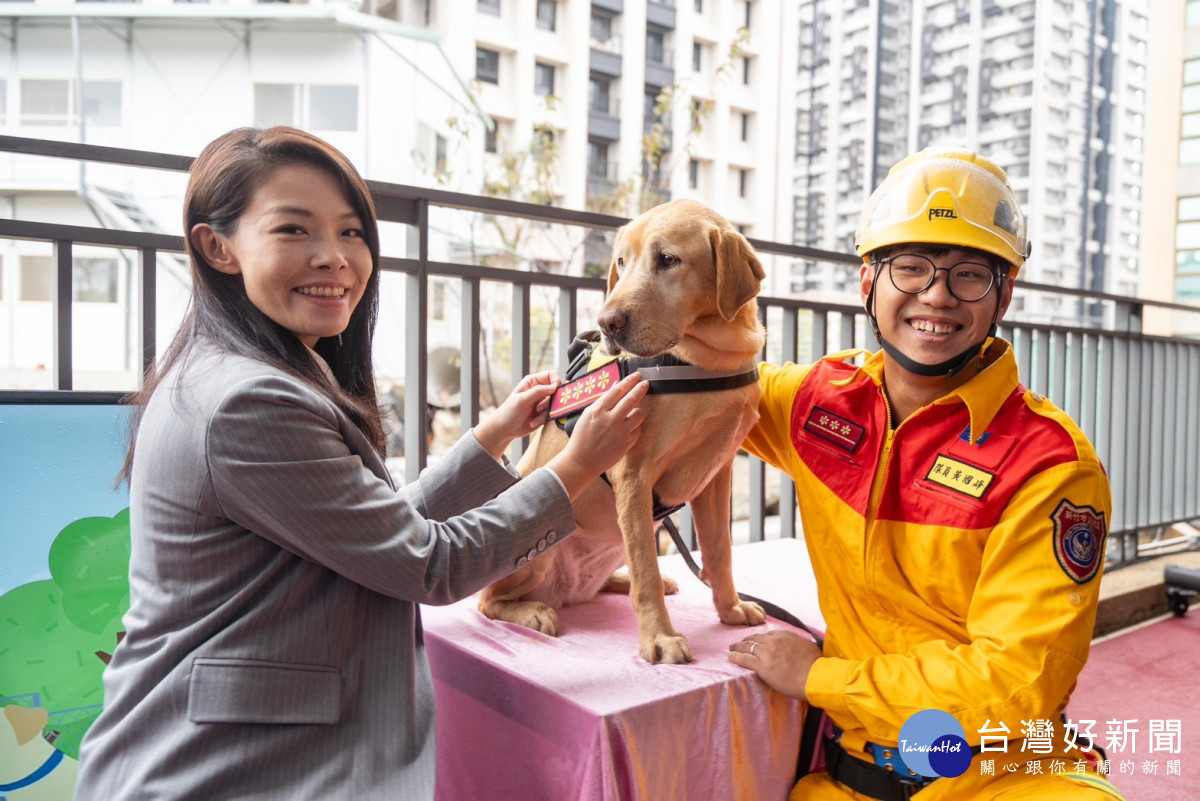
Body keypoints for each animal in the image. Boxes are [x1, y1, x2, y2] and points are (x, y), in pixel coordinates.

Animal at [477, 200, 768, 661]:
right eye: (620, 262)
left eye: (668, 259)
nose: (607, 323)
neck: (705, 361)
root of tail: (565, 591)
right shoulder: (633, 474)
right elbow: (646, 569)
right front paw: (660, 638)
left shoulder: (716, 476)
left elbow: (719, 553)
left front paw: (731, 608)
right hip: (537, 553)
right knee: (488, 601)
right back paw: (532, 612)